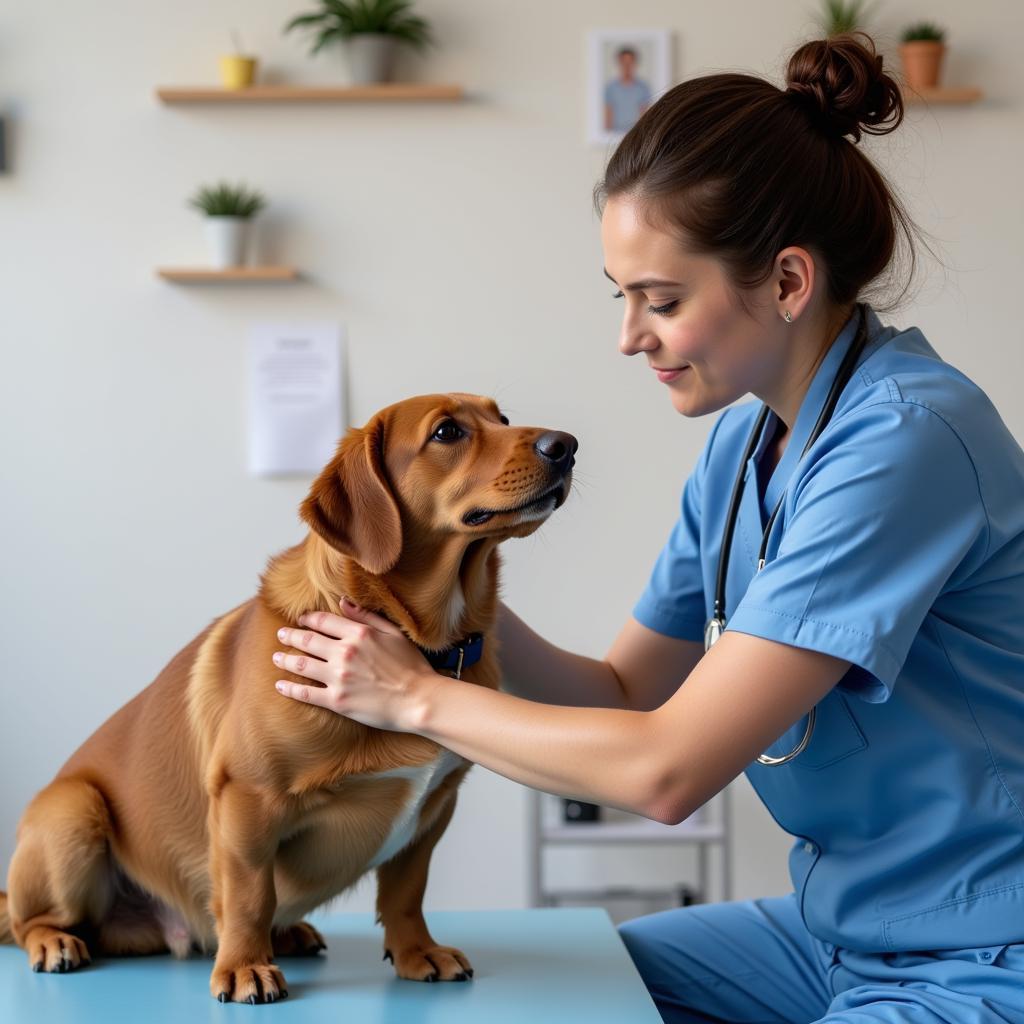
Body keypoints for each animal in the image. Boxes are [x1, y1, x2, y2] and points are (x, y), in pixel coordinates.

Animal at [0, 391, 577, 999]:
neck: (422, 643)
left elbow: (405, 893)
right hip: (72, 810)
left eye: (502, 419)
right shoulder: (248, 797)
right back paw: (55, 941)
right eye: (446, 432)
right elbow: (250, 896)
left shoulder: (434, 810)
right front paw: (244, 966)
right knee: (28, 919)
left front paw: (416, 951)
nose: (565, 445)